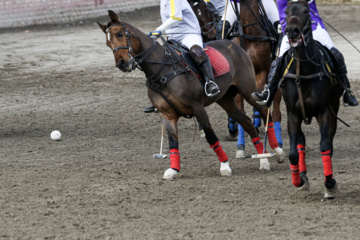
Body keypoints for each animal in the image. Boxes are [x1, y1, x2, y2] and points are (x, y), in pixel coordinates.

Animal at [97, 10, 284, 179]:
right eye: (107, 43)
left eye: (120, 33)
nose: (122, 63)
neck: (161, 71)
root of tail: (235, 45)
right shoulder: (167, 114)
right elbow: (173, 142)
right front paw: (173, 170)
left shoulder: (198, 107)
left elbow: (211, 137)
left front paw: (224, 166)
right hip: (225, 99)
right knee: (246, 122)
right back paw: (263, 160)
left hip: (248, 89)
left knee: (264, 111)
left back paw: (278, 151)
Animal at [282, 0, 344, 199]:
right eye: (287, 11)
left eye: (306, 12)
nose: (293, 31)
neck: (304, 71)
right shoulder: (292, 114)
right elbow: (293, 153)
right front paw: (298, 180)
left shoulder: (324, 111)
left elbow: (325, 146)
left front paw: (330, 184)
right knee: (300, 141)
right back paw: (302, 176)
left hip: (333, 108)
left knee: (329, 142)